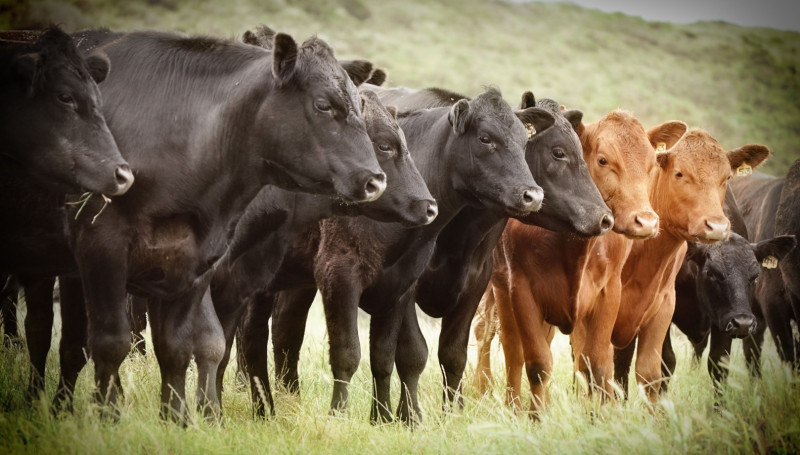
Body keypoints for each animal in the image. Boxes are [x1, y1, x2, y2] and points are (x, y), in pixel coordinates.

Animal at [59, 29, 384, 424]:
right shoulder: (101, 247)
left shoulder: (196, 263)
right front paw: (110, 419)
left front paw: (180, 421)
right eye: (323, 104)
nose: (375, 180)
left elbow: (183, 346)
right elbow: (112, 342)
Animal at [476, 111, 688, 414]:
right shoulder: (521, 289)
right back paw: (514, 407)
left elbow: (596, 365)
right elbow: (537, 363)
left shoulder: (608, 292)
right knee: (512, 351)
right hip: (502, 290)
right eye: (603, 160)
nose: (646, 221)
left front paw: (600, 417)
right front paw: (536, 418)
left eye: (651, 165)